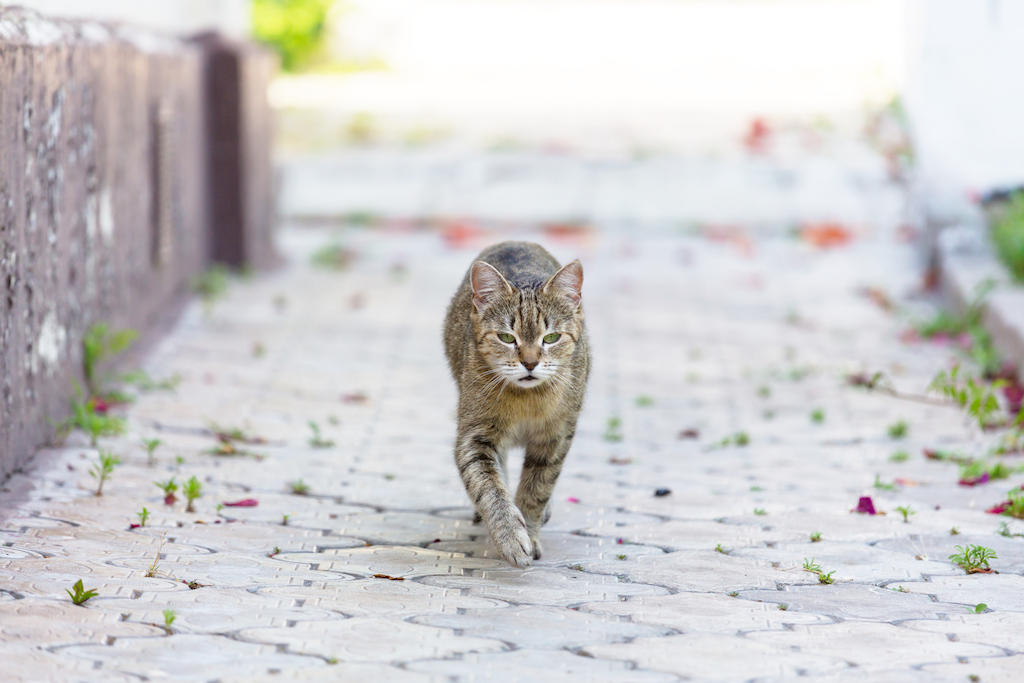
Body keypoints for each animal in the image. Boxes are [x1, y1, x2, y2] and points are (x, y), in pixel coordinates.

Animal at [442, 240, 593, 565]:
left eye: (551, 337)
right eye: (506, 337)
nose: (530, 363)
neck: (527, 401)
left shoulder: (556, 438)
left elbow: (537, 489)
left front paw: (530, 532)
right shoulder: (474, 435)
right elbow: (489, 488)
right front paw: (510, 535)